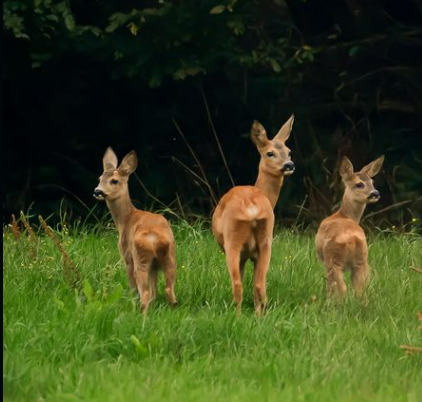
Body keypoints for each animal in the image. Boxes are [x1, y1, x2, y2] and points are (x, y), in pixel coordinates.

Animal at [93, 148, 177, 314]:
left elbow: (134, 288)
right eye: (99, 178)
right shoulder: (154, 267)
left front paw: (132, 303)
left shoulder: (127, 256)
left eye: (114, 180)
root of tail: (158, 240)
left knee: (144, 292)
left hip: (140, 257)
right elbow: (154, 288)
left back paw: (141, 314)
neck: (125, 219)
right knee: (168, 290)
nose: (97, 191)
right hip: (170, 257)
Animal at [213, 114, 296, 316]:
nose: (289, 164)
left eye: (289, 152)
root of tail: (251, 207)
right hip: (266, 239)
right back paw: (259, 316)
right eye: (270, 153)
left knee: (238, 285)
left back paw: (237, 316)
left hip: (233, 241)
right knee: (259, 285)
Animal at [314, 155, 384, 300]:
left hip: (333, 259)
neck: (343, 215)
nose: (375, 193)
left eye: (372, 182)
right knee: (360, 291)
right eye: (359, 184)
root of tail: (351, 239)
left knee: (341, 288)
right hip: (362, 259)